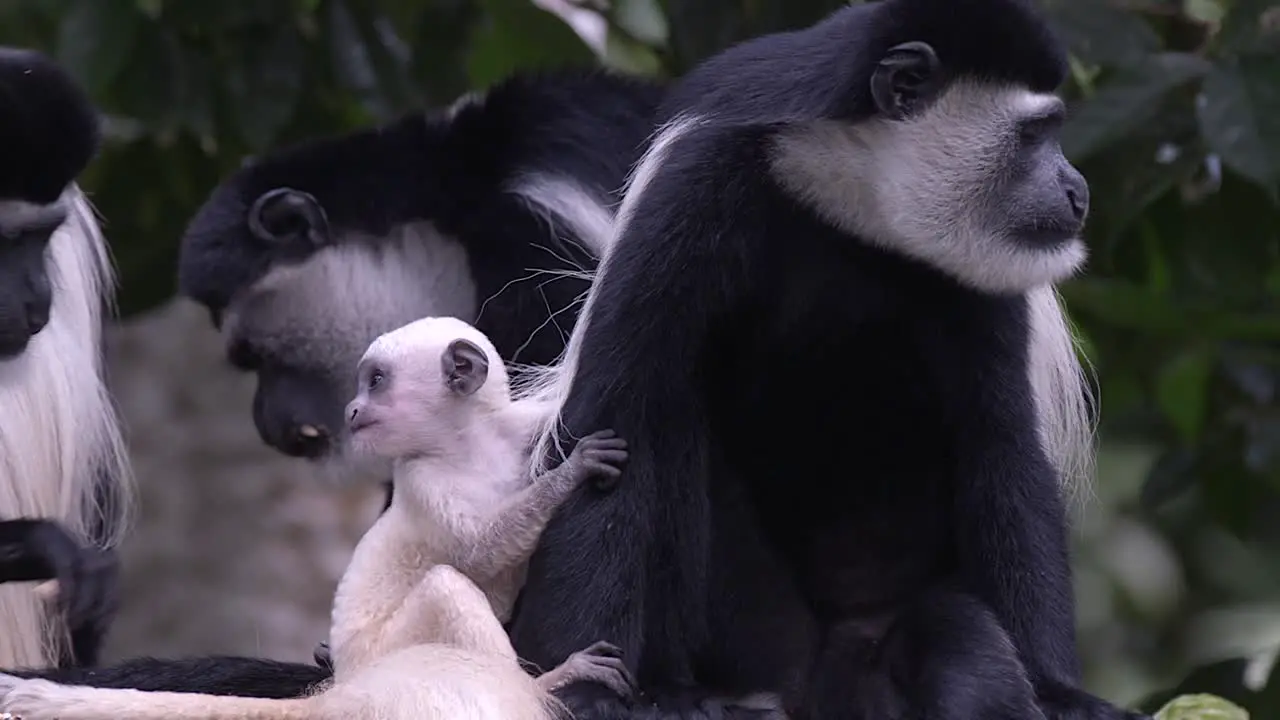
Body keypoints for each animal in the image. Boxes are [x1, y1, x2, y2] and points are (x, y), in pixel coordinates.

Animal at [0, 316, 634, 712]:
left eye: (375, 381)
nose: (352, 409)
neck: (467, 444)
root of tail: (349, 682)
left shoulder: (516, 430)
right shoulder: (423, 480)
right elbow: (479, 550)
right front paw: (574, 473)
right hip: (388, 650)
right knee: (445, 587)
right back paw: (547, 682)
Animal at [509, 0, 1152, 712]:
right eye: (1037, 133)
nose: (1078, 190)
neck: (853, 192)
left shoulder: (987, 278)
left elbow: (1001, 445)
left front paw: (1059, 692)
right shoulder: (693, 189)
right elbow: (622, 417)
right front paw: (585, 685)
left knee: (959, 636)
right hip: (752, 624)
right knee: (673, 423)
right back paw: (679, 689)